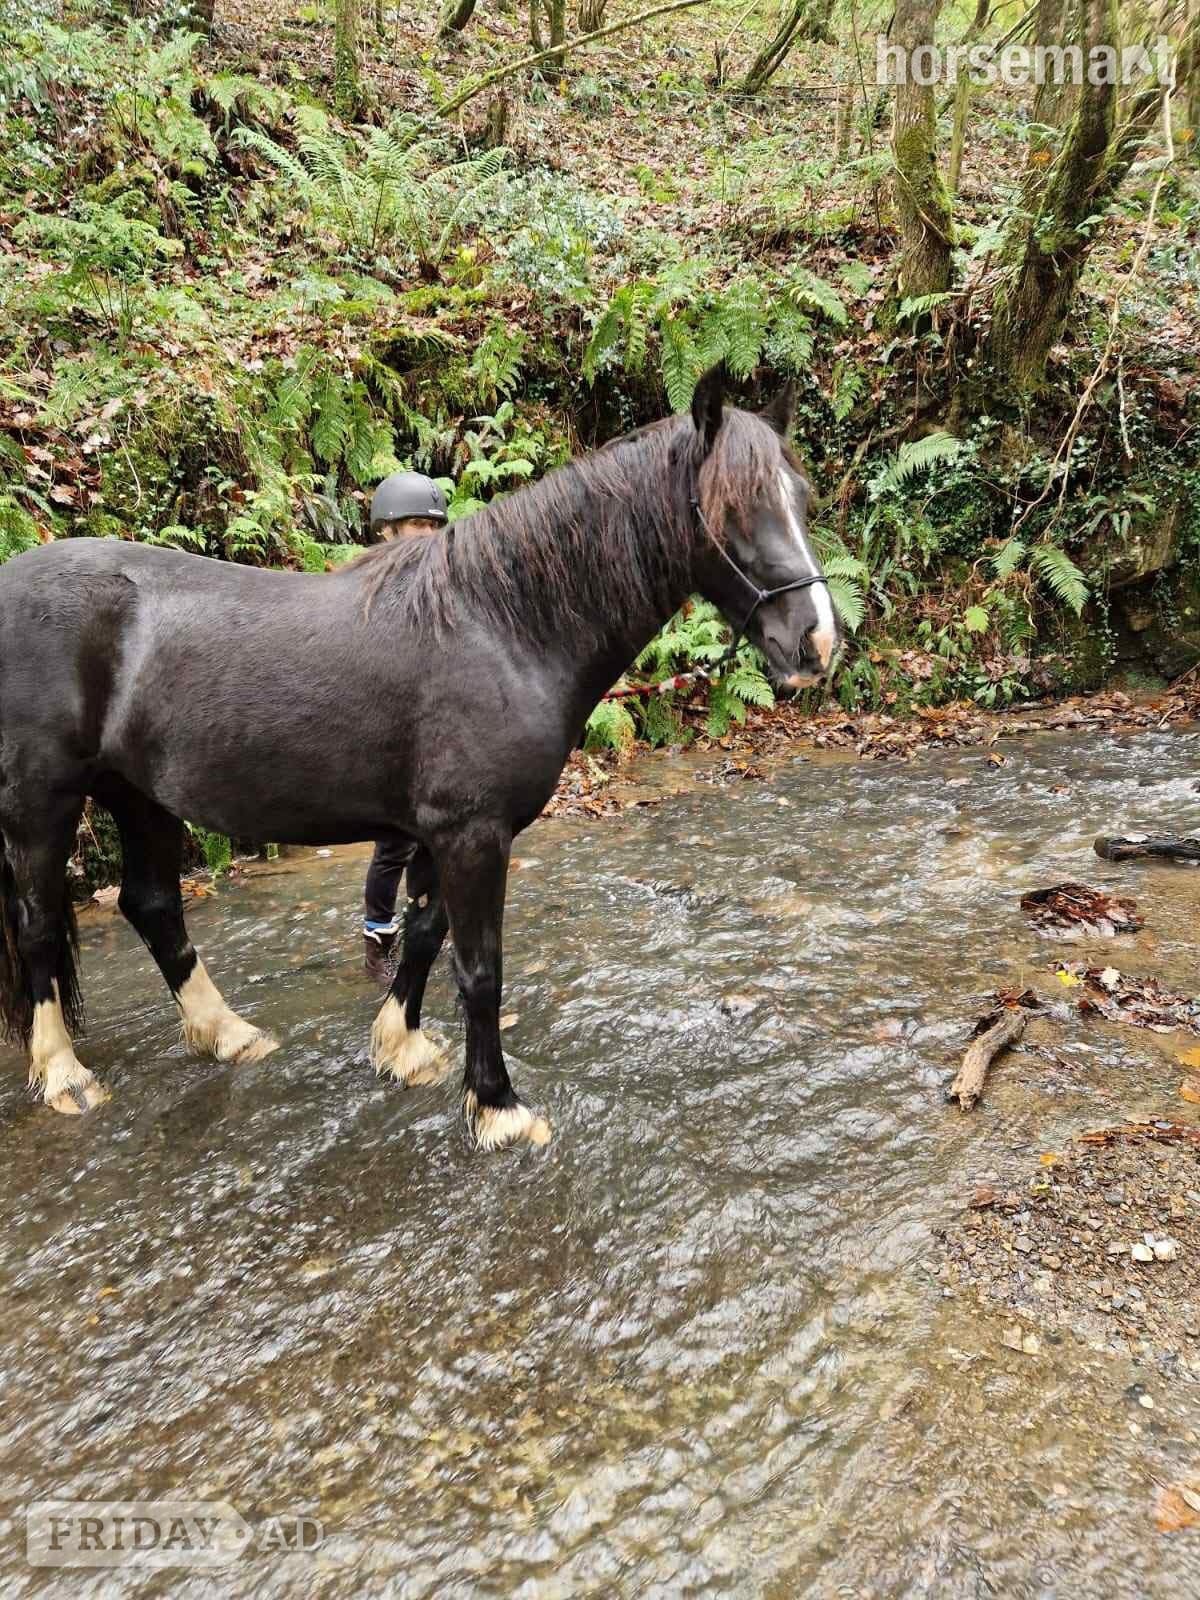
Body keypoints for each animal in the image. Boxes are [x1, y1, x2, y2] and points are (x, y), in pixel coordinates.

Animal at [0, 368, 839, 1150]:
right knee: (38, 924)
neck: (500, 625)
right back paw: (66, 1075)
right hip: (44, 802)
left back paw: (229, 1034)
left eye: (799, 498)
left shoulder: (441, 832)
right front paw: (497, 1106)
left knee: (152, 906)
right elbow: (480, 969)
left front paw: (401, 1048)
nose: (818, 642)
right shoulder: (473, 834)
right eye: (734, 507)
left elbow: (427, 936)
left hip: (139, 794)